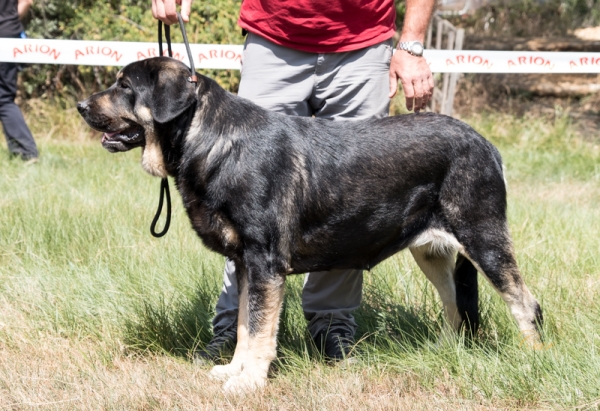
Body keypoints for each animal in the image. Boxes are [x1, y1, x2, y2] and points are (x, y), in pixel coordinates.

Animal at [76, 56, 544, 394]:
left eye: (124, 86)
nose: (80, 107)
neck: (213, 140)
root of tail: (486, 145)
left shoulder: (266, 263)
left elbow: (260, 330)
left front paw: (248, 383)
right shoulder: (245, 264)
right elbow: (244, 326)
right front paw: (233, 371)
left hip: (483, 238)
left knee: (525, 303)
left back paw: (533, 358)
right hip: (431, 251)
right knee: (456, 306)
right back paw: (446, 351)